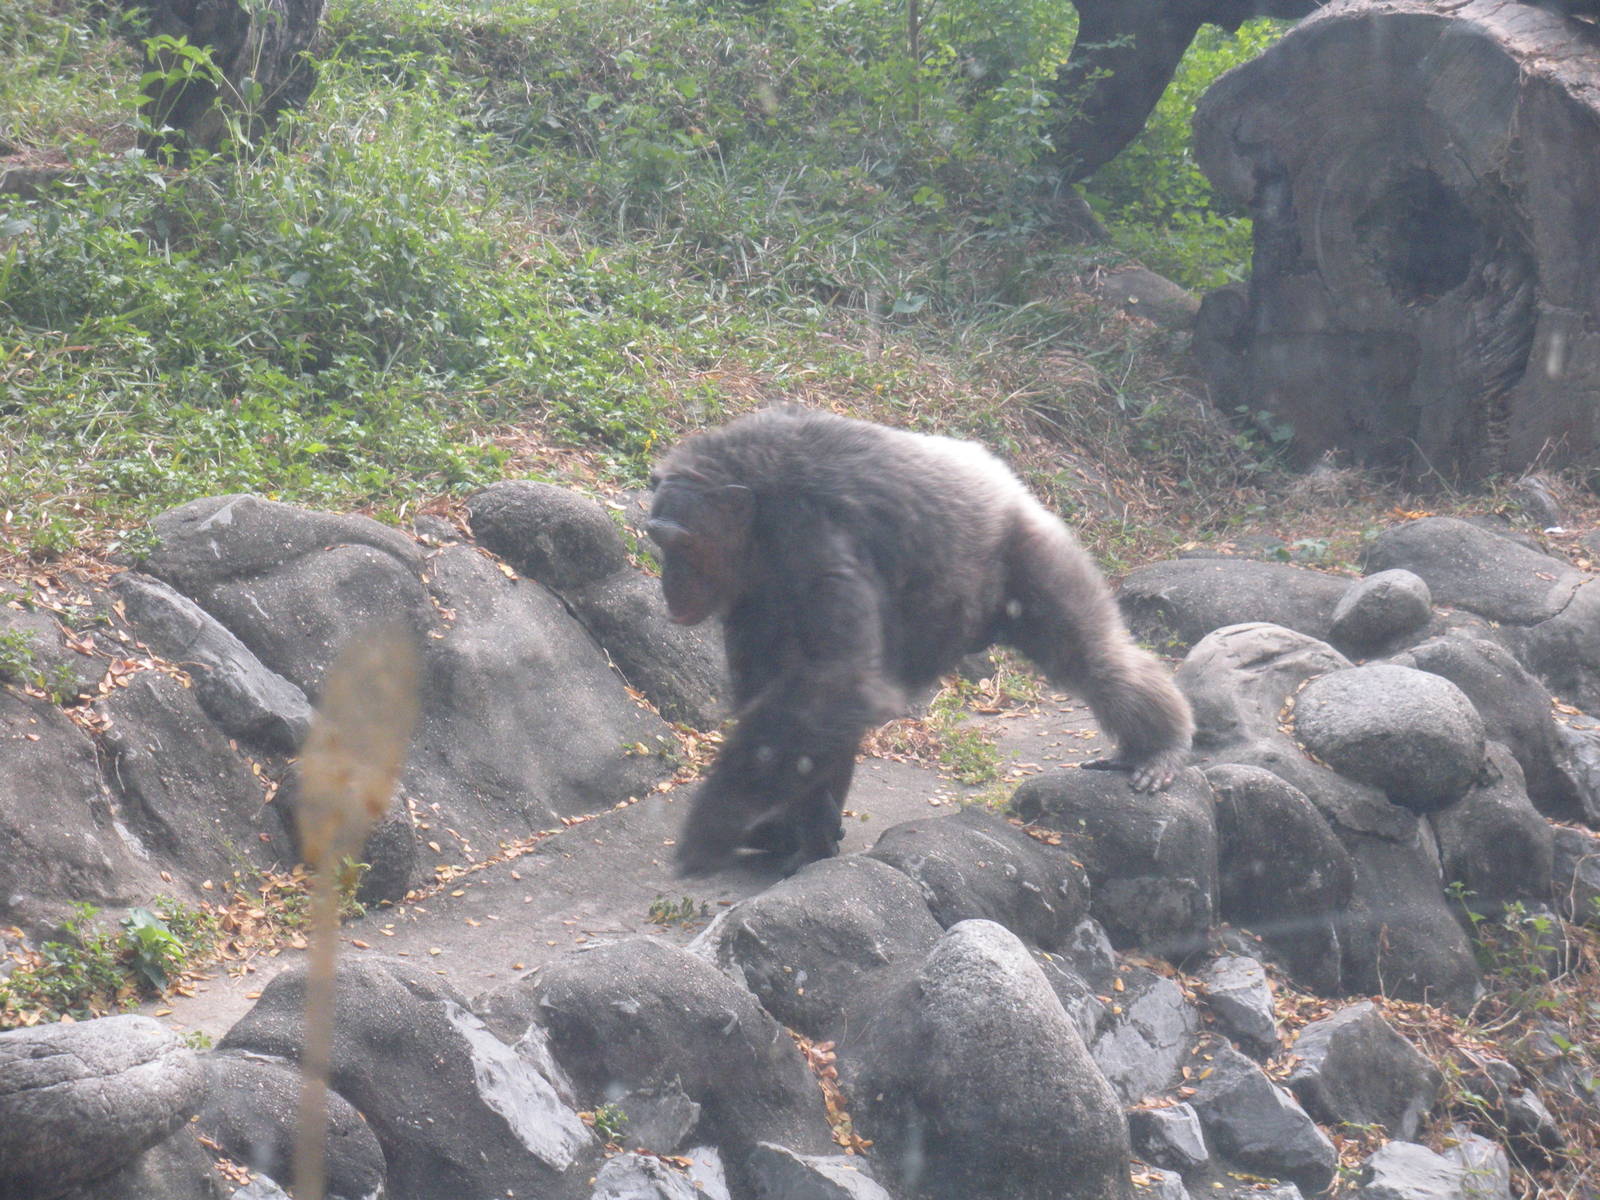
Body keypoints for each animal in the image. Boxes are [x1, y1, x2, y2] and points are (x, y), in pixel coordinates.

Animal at [647, 407, 1194, 875]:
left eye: (683, 546)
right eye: (658, 541)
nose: (669, 581)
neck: (759, 521)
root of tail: (1006, 475)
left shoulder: (814, 539)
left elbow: (840, 682)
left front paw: (714, 824)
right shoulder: (751, 597)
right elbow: (789, 695)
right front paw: (786, 826)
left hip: (1033, 547)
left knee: (1091, 657)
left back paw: (1156, 749)